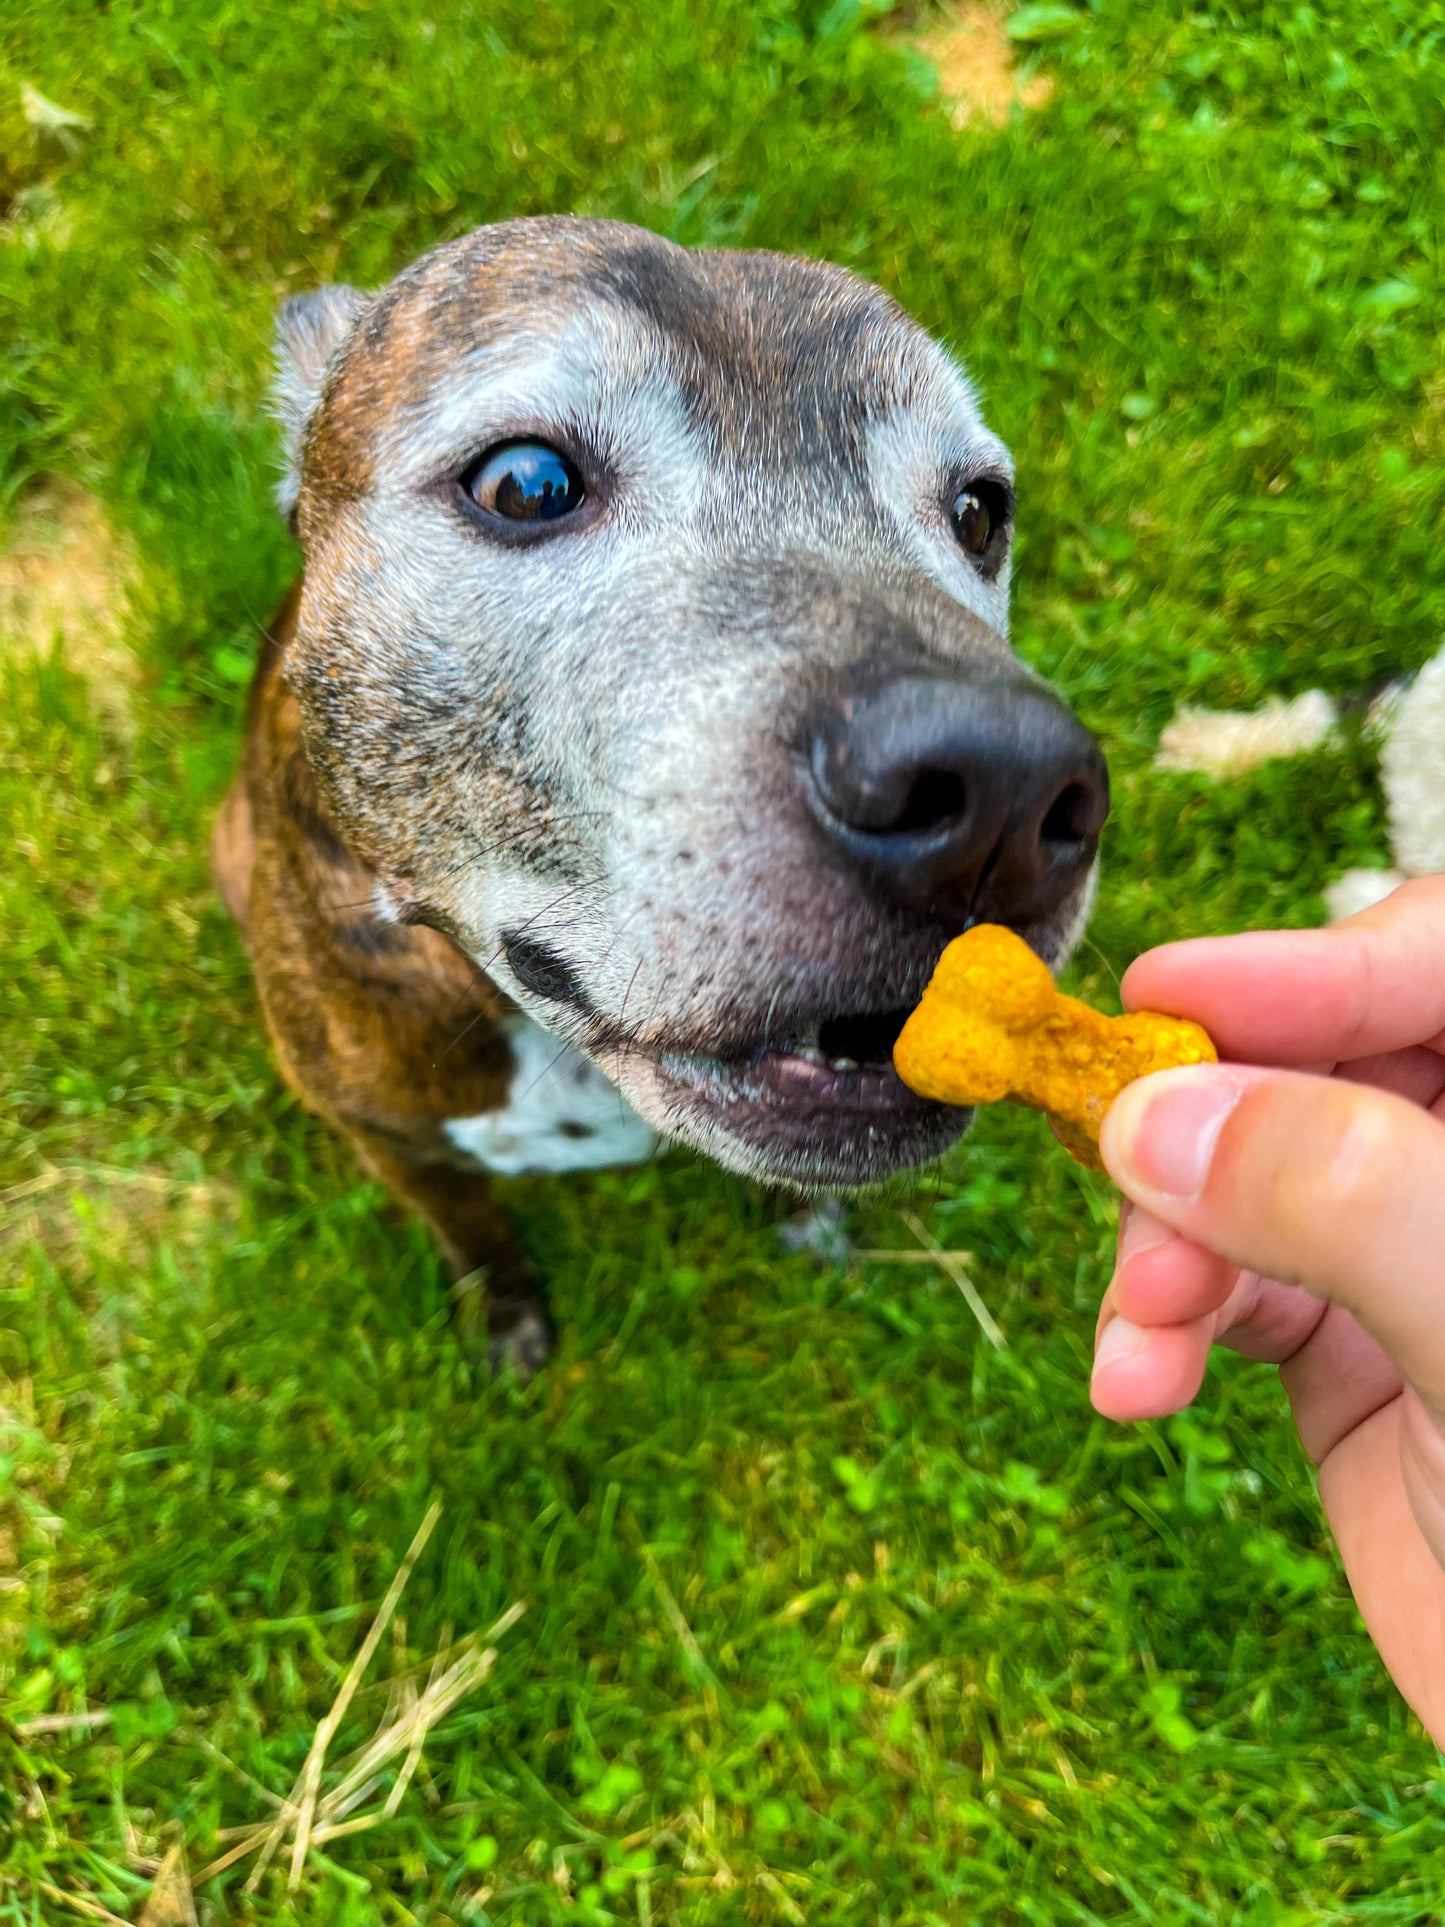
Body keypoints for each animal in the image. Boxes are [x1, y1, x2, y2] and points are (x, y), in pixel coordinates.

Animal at [211, 214, 1109, 1372]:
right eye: (526, 484)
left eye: (976, 512)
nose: (1007, 790)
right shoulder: (391, 1139)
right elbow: (473, 1225)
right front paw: (505, 1311)